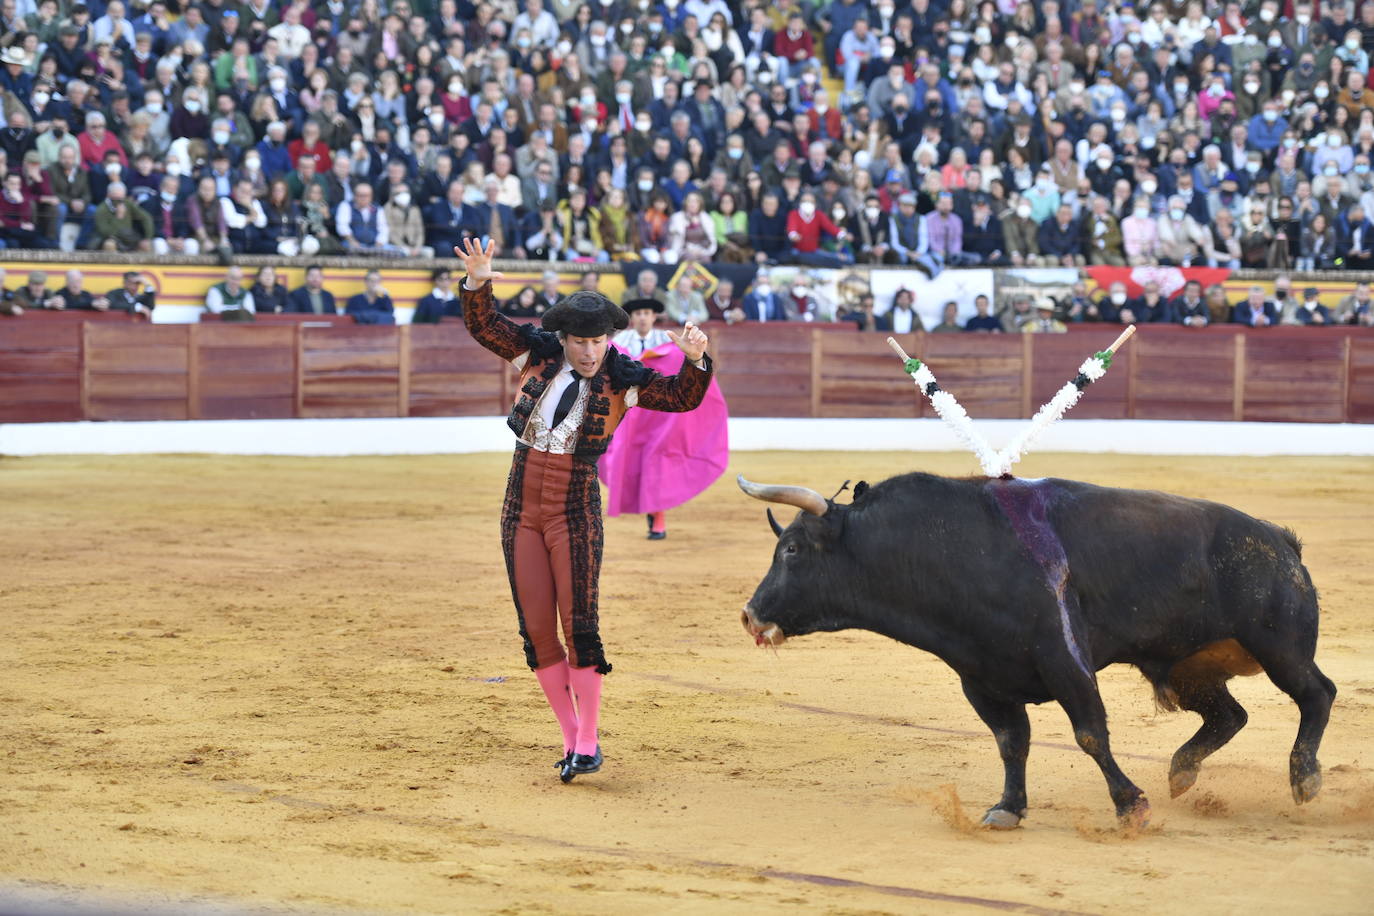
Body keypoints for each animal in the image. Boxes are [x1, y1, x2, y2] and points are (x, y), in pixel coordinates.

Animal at [736, 472, 1335, 829]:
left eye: (792, 550)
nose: (750, 614)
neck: (956, 549)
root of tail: (1281, 541)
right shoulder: (981, 678)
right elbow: (1011, 742)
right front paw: (1007, 808)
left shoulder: (1065, 661)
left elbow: (1090, 734)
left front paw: (1130, 806)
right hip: (1190, 668)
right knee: (1229, 715)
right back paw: (1182, 773)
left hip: (1279, 647)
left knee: (1317, 694)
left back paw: (1304, 779)